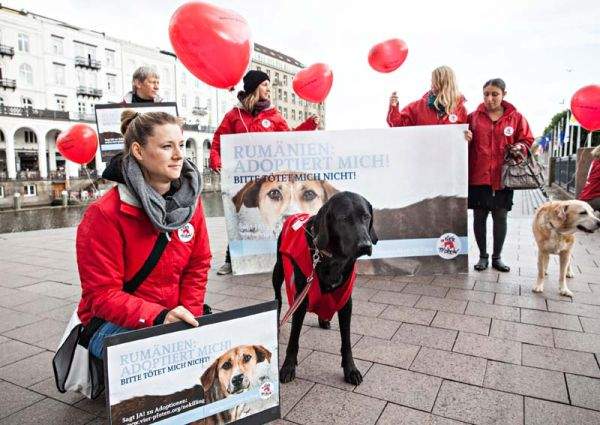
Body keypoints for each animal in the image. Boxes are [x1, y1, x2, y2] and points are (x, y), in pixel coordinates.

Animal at [274, 192, 378, 384]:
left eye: (366, 216)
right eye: (344, 218)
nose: (365, 245)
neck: (333, 257)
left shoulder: (345, 300)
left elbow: (346, 340)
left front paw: (350, 369)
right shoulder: (301, 299)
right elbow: (293, 339)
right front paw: (288, 366)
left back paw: (323, 319)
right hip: (278, 271)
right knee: (278, 297)